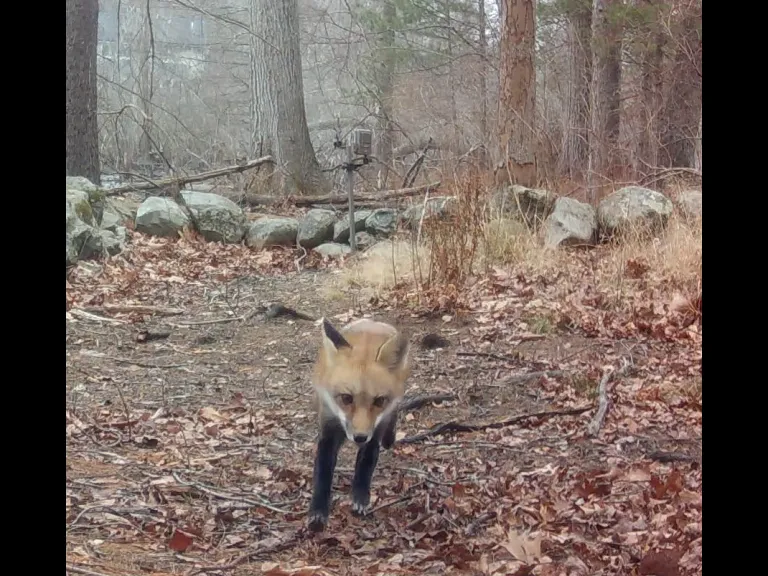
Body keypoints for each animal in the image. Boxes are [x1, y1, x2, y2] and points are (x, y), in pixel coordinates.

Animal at [307, 317, 411, 532]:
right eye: (346, 398)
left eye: (379, 401)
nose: (360, 437)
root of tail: (374, 322)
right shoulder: (328, 425)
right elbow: (323, 471)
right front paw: (318, 511)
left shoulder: (375, 429)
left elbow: (366, 462)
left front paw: (360, 497)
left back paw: (390, 438)